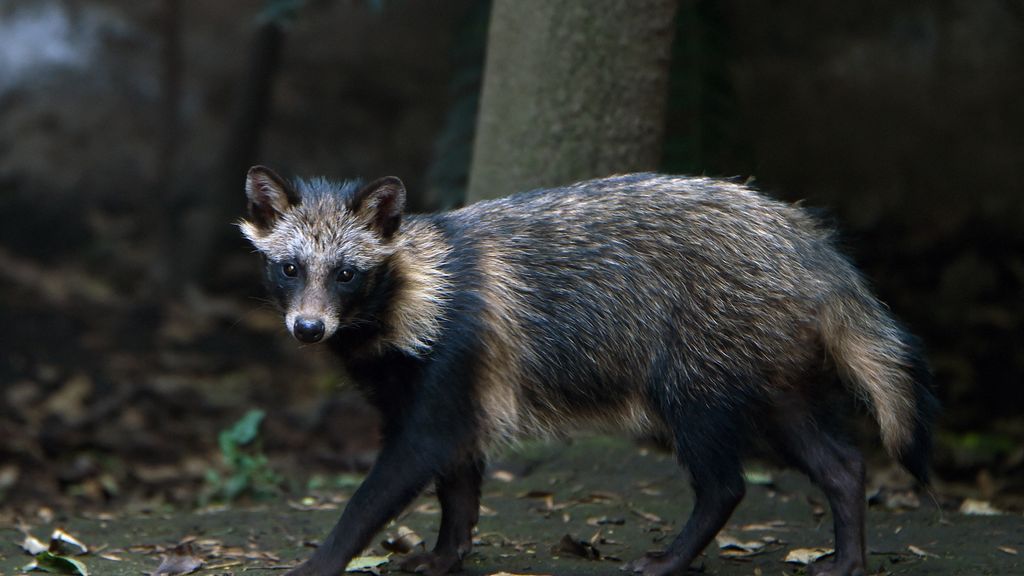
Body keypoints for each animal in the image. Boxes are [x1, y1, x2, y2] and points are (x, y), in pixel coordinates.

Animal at [239, 167, 937, 573]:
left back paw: (676, 557)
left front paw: (324, 560)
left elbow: (380, 491)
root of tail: (804, 239)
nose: (308, 329)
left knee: (724, 483)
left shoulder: (449, 373)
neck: (414, 289)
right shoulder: (443, 392)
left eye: (347, 274)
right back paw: (847, 556)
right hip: (770, 377)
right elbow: (458, 487)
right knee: (841, 464)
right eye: (291, 268)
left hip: (696, 371)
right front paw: (445, 555)